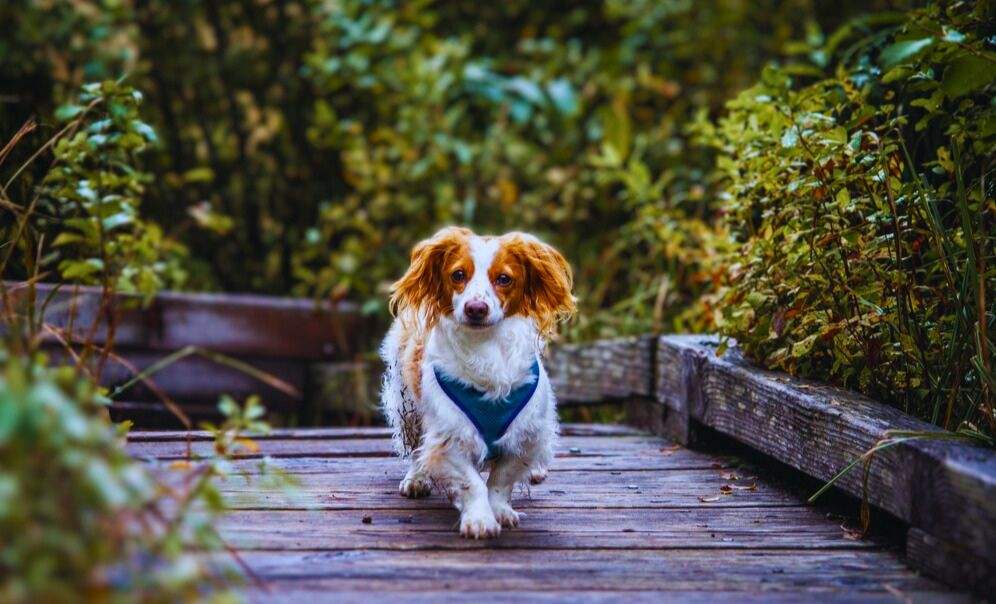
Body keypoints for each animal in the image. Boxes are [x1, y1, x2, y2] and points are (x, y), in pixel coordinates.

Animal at [386, 226, 580, 536]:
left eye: (504, 279)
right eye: (458, 275)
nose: (476, 308)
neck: (485, 348)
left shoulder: (525, 434)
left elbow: (501, 480)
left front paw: (499, 510)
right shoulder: (449, 434)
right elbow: (472, 482)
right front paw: (480, 519)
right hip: (407, 406)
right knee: (416, 446)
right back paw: (417, 477)